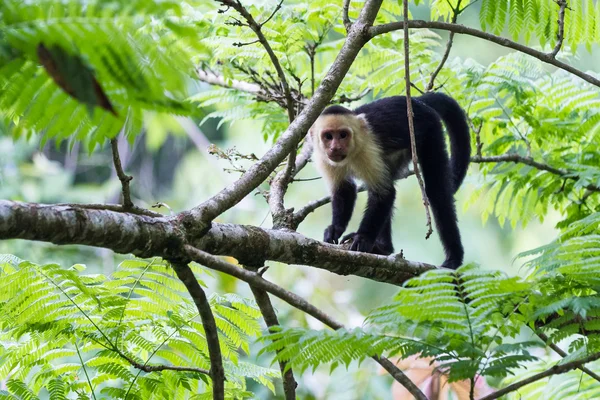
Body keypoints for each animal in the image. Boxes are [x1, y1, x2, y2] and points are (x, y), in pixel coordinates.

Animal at [310, 92, 474, 270]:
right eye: (328, 136)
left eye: (343, 135)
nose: (335, 148)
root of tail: (417, 101)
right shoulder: (323, 157)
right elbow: (344, 190)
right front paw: (335, 229)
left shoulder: (368, 149)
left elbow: (384, 192)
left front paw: (363, 238)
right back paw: (383, 248)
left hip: (430, 130)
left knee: (437, 193)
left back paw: (454, 259)